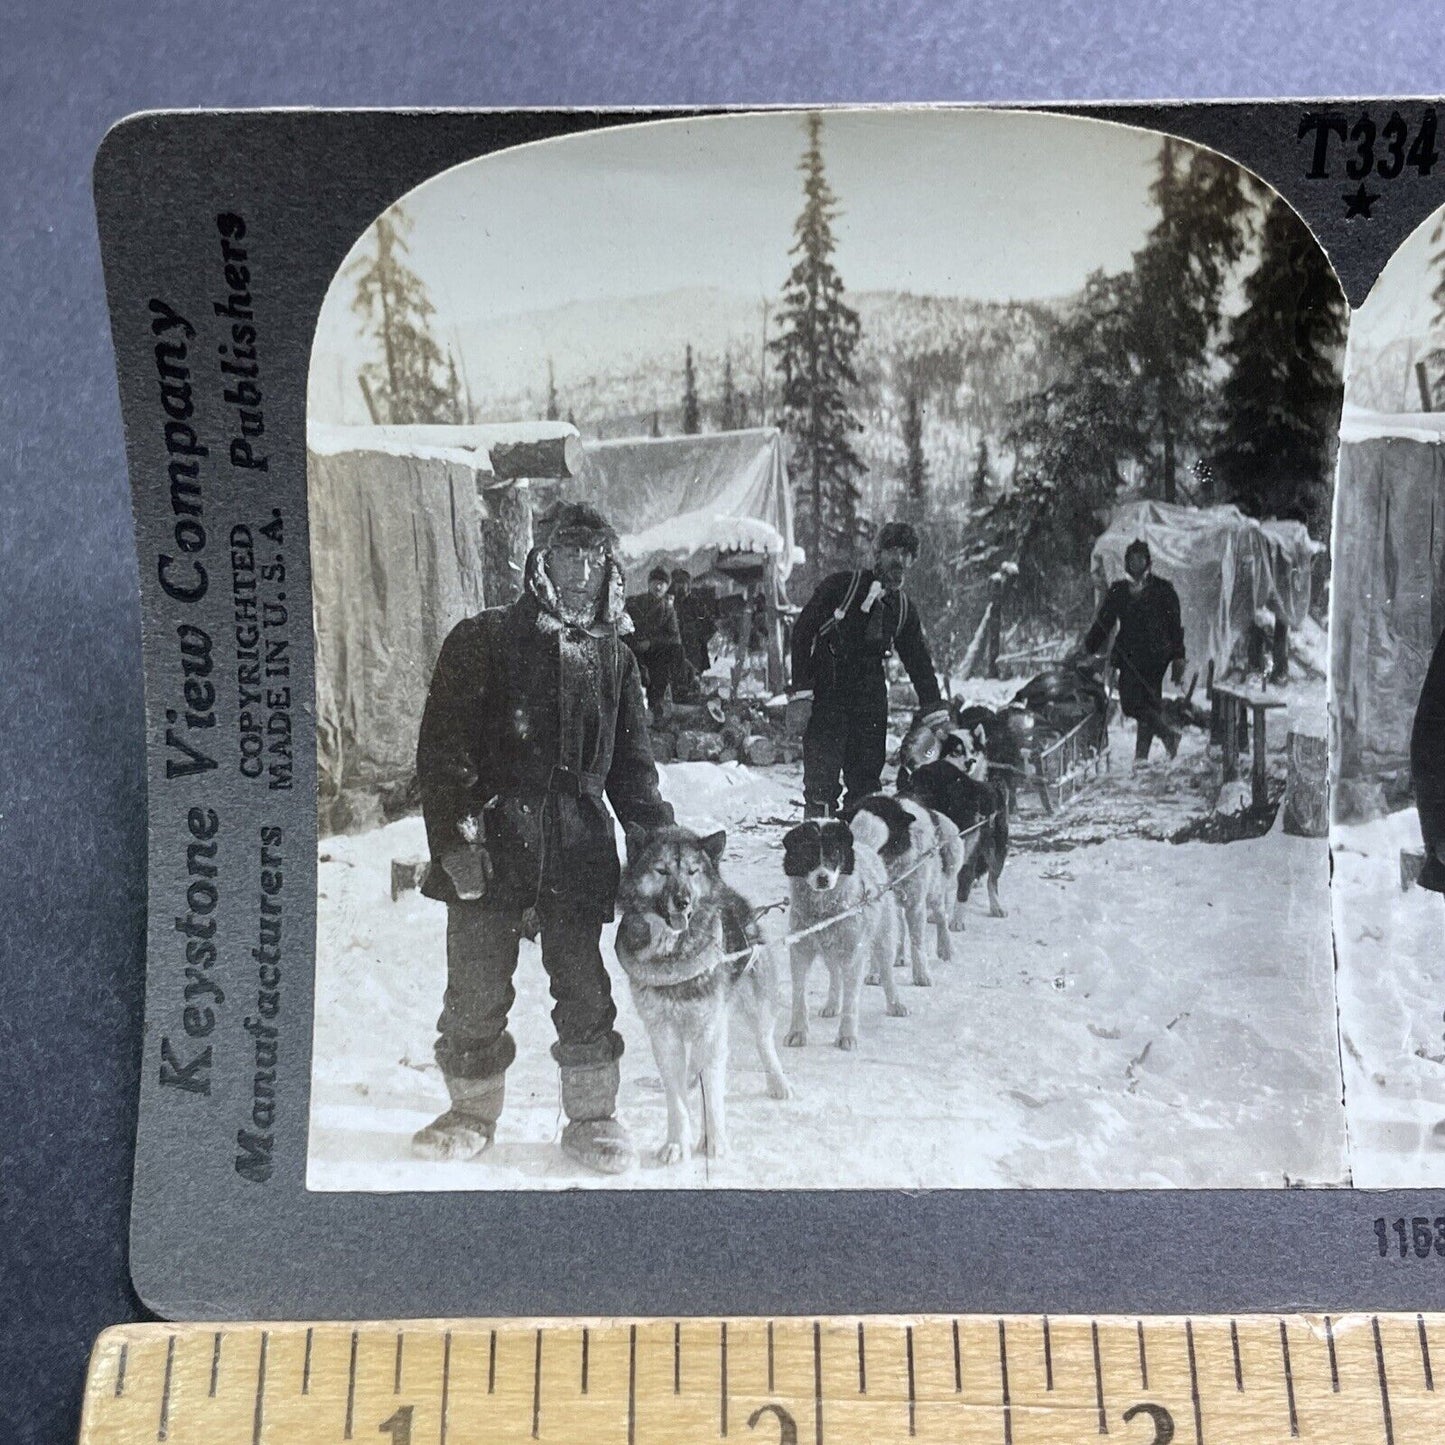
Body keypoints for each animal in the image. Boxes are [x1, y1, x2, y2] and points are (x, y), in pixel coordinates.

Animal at [612, 826, 791, 1161]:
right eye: (661, 870)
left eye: (693, 871)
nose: (682, 901)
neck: (674, 954)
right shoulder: (663, 1033)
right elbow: (676, 1098)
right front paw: (676, 1143)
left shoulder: (710, 1027)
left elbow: (713, 1093)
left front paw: (714, 1142)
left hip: (755, 1002)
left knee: (764, 1042)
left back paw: (777, 1081)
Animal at [780, 826, 901, 1051]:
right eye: (808, 852)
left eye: (834, 853)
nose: (823, 878)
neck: (824, 913)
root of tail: (864, 845)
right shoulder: (800, 951)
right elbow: (799, 995)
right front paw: (798, 1032)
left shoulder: (854, 955)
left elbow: (851, 1002)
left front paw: (847, 1036)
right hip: (829, 952)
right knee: (835, 975)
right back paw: (832, 1005)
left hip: (884, 938)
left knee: (887, 972)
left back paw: (895, 1004)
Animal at [849, 791, 965, 982]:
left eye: (880, 829)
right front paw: (874, 973)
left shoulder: (915, 904)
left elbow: (917, 942)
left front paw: (922, 975)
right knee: (900, 927)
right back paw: (899, 956)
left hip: (934, 890)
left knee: (941, 916)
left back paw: (946, 949)